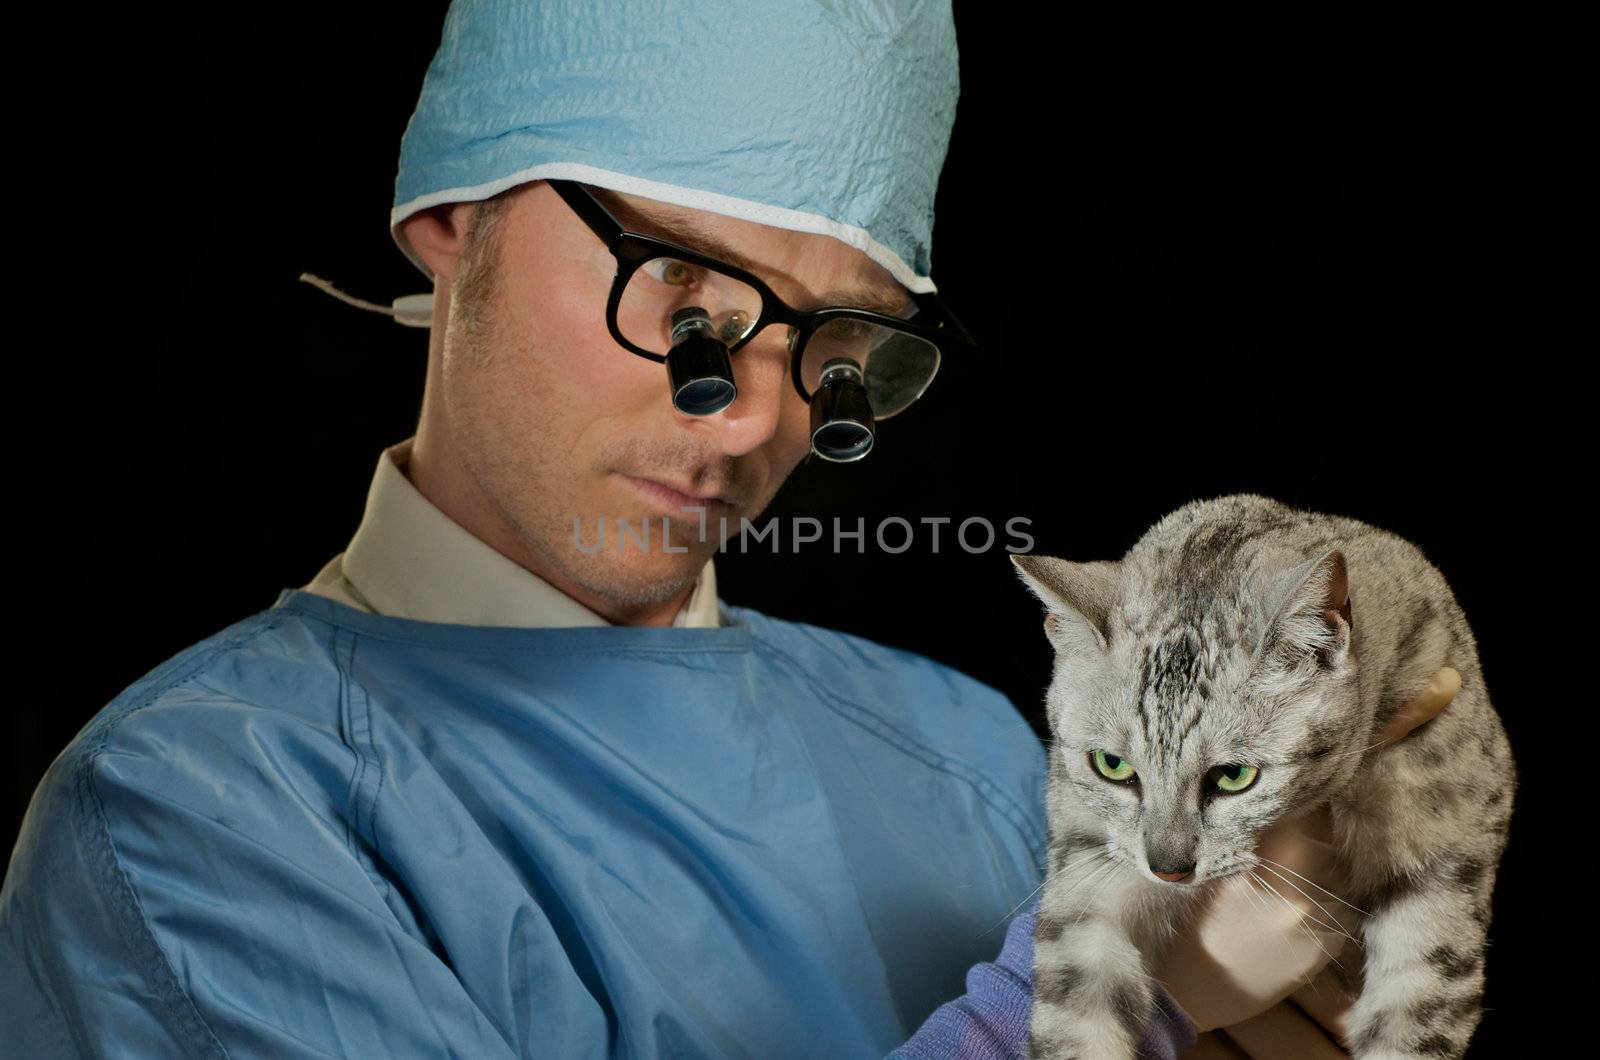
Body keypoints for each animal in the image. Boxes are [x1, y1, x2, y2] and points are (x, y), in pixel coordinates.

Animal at [1011, 499, 1510, 1060]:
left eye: (1233, 775)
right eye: (1112, 766)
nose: (1168, 869)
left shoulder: (1441, 863)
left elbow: (1415, 1013)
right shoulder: (1087, 868)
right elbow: (1074, 1012)